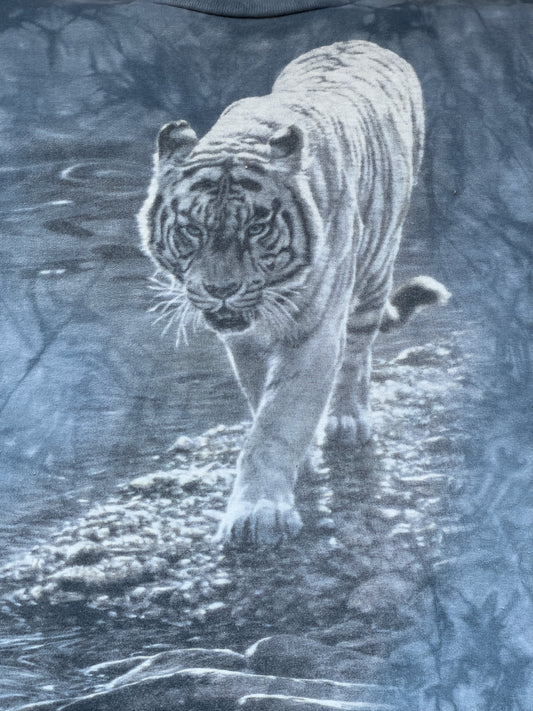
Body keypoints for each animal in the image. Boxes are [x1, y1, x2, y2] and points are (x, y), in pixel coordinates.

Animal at [138, 40, 450, 546]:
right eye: (192, 229)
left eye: (256, 228)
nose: (220, 289)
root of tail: (361, 42)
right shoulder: (244, 339)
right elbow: (260, 399)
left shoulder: (314, 330)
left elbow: (278, 420)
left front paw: (259, 514)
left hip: (375, 271)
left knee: (357, 354)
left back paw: (347, 421)